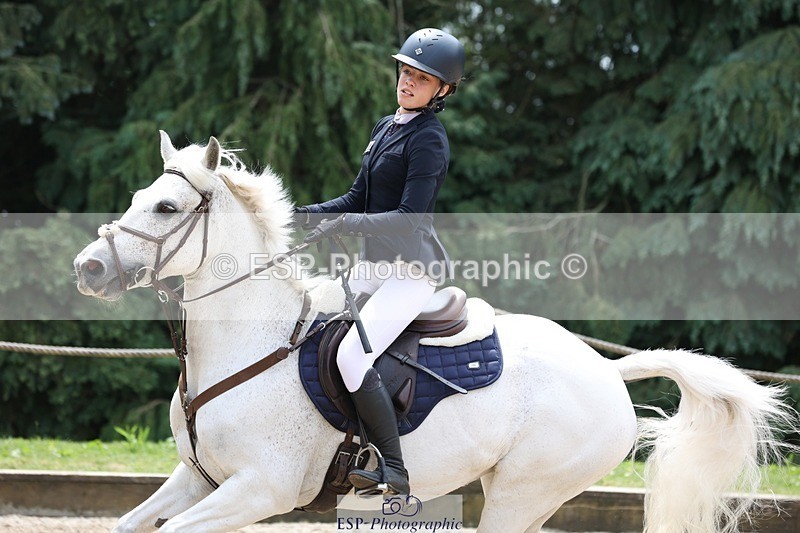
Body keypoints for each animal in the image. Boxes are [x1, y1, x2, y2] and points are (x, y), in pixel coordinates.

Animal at [74, 131, 795, 533]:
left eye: (166, 206)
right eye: (138, 197)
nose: (90, 266)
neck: (249, 344)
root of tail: (604, 368)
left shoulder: (261, 487)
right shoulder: (199, 478)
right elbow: (129, 524)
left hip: (523, 490)